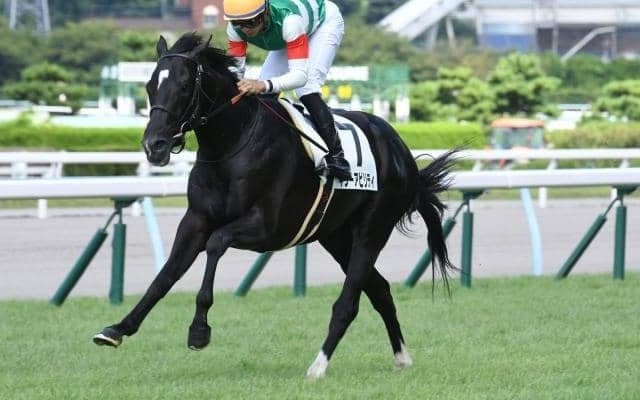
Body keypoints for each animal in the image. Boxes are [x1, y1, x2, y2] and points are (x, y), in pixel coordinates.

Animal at [92, 32, 457, 379]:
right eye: (150, 86)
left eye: (183, 86)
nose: (154, 146)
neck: (233, 143)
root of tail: (400, 149)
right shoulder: (195, 220)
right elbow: (166, 275)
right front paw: (118, 329)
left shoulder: (268, 228)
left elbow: (216, 243)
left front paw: (198, 330)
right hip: (336, 236)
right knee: (379, 289)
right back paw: (401, 357)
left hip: (373, 229)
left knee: (348, 302)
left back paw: (318, 366)